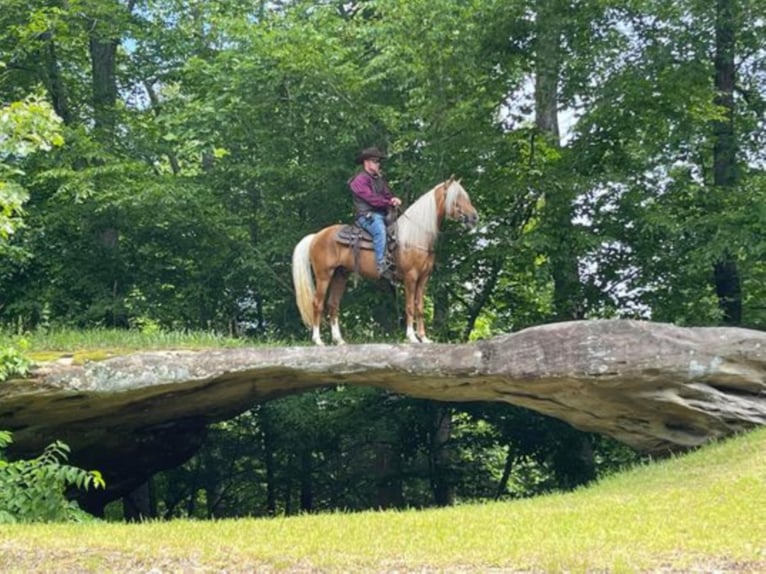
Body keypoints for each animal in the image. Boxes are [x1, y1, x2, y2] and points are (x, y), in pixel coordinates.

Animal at [294, 178, 480, 344]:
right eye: (456, 198)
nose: (474, 217)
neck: (416, 236)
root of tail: (316, 236)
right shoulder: (410, 277)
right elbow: (409, 306)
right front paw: (412, 337)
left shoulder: (423, 278)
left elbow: (419, 306)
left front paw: (424, 338)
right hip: (324, 276)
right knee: (317, 303)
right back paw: (318, 340)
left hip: (341, 275)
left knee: (333, 305)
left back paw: (339, 340)